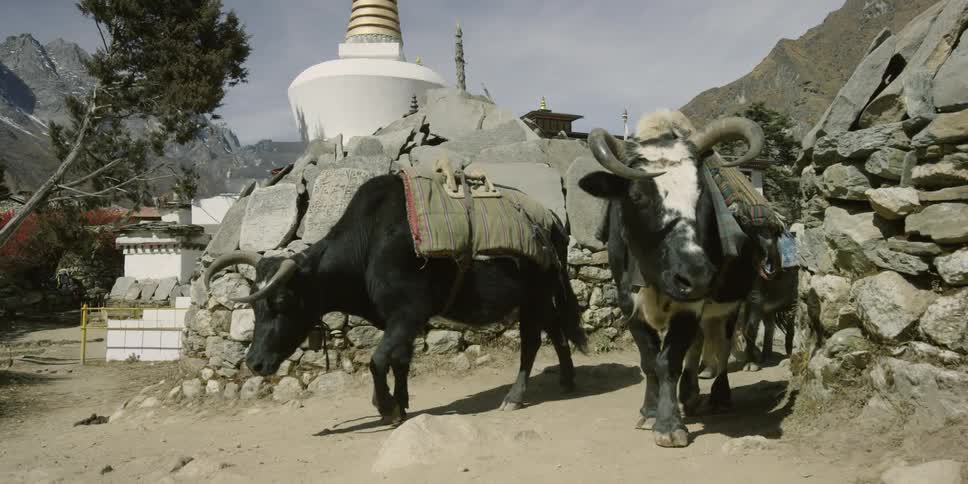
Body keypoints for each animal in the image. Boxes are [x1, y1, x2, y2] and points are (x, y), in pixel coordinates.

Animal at [203, 174, 587, 424]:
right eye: (255, 305)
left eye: (281, 301)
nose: (254, 363)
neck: (369, 244)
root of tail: (552, 221)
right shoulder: (399, 322)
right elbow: (399, 360)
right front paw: (401, 404)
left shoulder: (407, 314)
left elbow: (377, 360)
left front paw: (385, 406)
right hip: (539, 299)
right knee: (556, 330)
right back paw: (568, 381)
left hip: (535, 298)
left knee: (532, 342)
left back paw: (514, 397)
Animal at [578, 110, 766, 447]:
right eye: (637, 195)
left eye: (701, 193)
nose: (697, 275)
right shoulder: (629, 304)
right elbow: (649, 360)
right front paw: (650, 410)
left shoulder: (689, 306)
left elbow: (669, 360)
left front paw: (668, 426)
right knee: (700, 343)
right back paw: (689, 396)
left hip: (732, 303)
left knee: (723, 346)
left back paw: (719, 397)